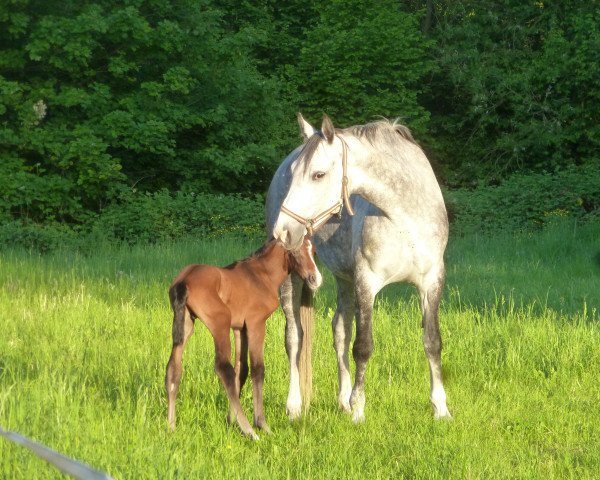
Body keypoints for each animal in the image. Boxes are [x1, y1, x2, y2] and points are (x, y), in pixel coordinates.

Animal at [164, 236, 322, 438]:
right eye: (295, 252)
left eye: (314, 251)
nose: (315, 279)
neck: (261, 275)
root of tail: (184, 280)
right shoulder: (256, 323)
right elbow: (257, 369)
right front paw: (261, 424)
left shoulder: (240, 328)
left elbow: (242, 369)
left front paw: (231, 421)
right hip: (220, 322)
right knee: (223, 368)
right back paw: (250, 431)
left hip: (186, 324)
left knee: (174, 369)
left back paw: (171, 426)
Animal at [268, 114, 450, 422]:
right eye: (293, 174)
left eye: (318, 174)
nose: (282, 232)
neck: (403, 217)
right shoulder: (367, 282)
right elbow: (363, 347)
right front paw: (358, 410)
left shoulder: (431, 281)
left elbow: (432, 341)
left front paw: (441, 408)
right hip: (295, 278)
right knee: (294, 337)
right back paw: (294, 406)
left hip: (344, 278)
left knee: (339, 330)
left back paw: (342, 400)